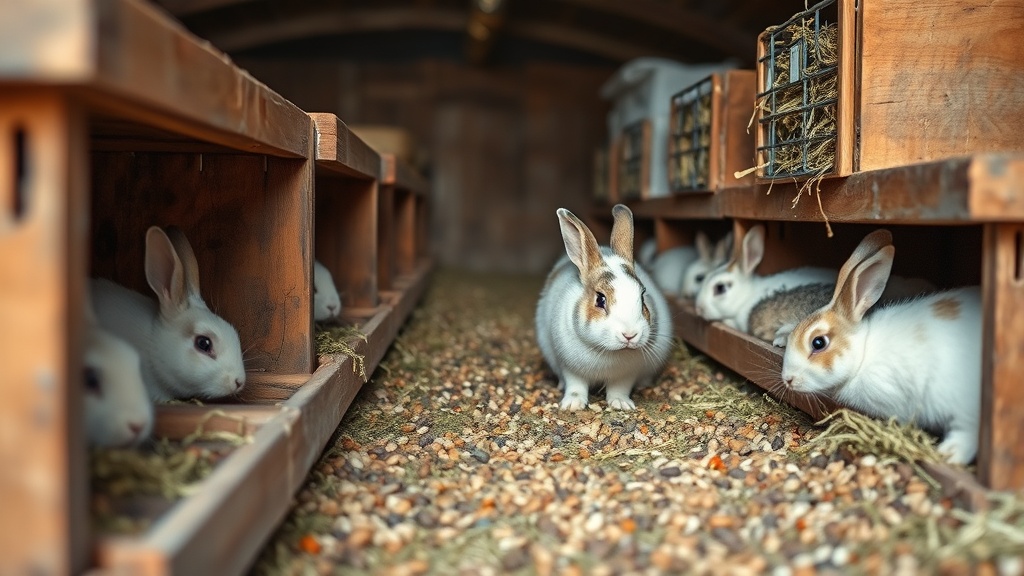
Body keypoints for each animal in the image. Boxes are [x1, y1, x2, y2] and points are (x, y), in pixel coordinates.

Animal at [535, 204, 673, 411]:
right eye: (600, 300)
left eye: (643, 296)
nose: (629, 335)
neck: (606, 350)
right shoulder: (570, 367)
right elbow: (576, 385)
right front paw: (572, 404)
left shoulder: (626, 374)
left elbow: (619, 388)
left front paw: (622, 404)